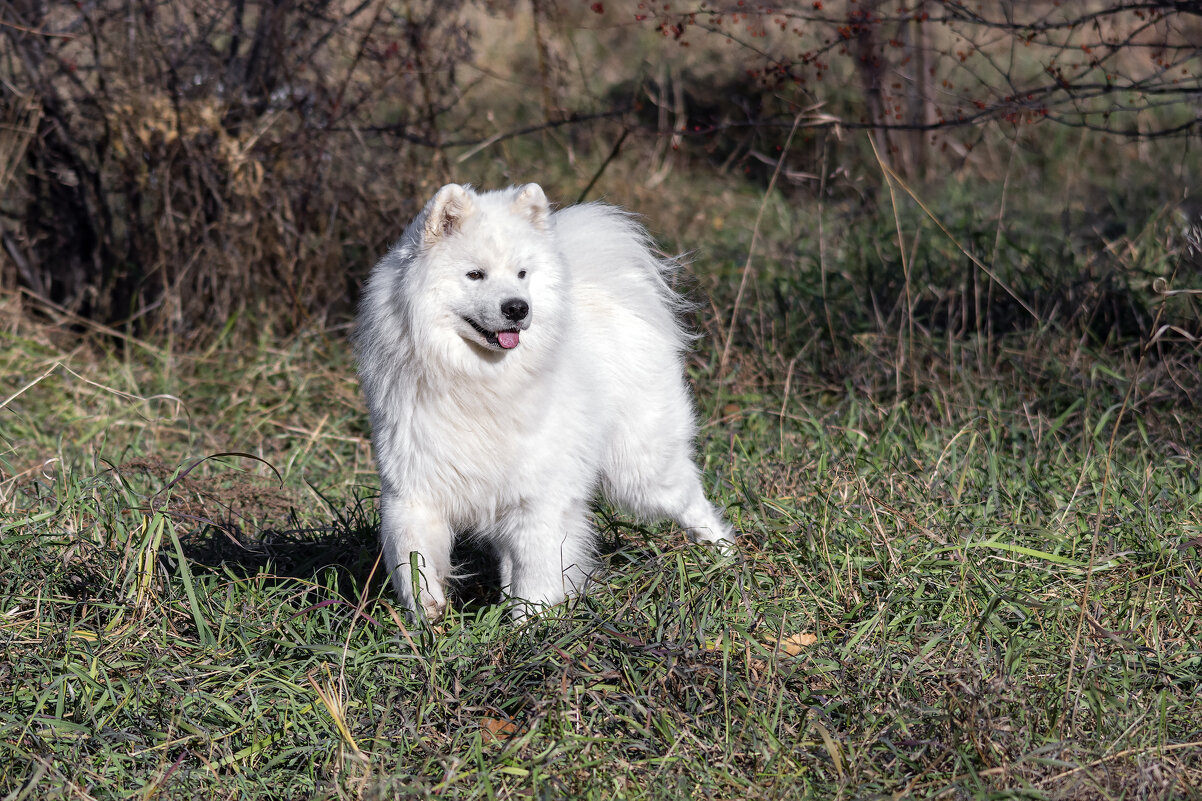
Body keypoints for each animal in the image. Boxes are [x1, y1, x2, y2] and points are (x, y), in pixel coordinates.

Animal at [350, 182, 735, 615]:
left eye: (522, 273)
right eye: (475, 274)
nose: (518, 307)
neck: (479, 382)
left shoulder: (536, 499)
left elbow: (534, 576)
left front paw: (528, 623)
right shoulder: (414, 488)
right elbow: (411, 558)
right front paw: (428, 612)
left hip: (640, 474)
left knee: (694, 502)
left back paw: (724, 556)